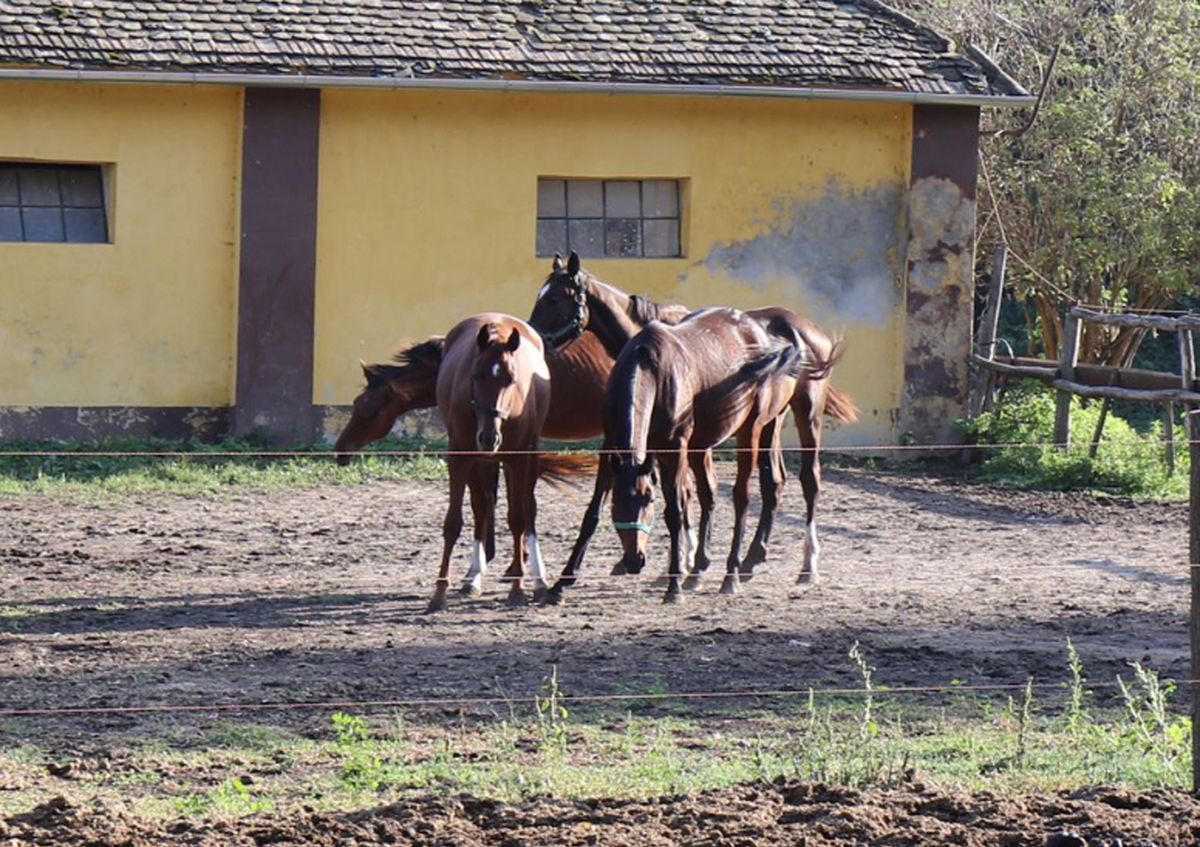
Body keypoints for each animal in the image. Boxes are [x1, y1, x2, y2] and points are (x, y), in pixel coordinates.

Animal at [424, 314, 554, 609]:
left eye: (511, 378)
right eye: (477, 375)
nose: (488, 437)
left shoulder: (518, 458)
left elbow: (518, 519)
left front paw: (517, 588)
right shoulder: (461, 456)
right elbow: (454, 522)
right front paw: (440, 592)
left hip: (527, 454)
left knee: (528, 510)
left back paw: (539, 581)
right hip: (481, 462)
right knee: (482, 507)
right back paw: (474, 578)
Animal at [530, 250, 859, 595]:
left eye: (555, 299)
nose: (534, 337)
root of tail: (802, 331)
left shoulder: (684, 444)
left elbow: (687, 496)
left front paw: (685, 564)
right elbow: (694, 494)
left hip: (804, 414)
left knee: (807, 480)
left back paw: (804, 566)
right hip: (772, 422)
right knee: (774, 482)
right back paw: (752, 558)